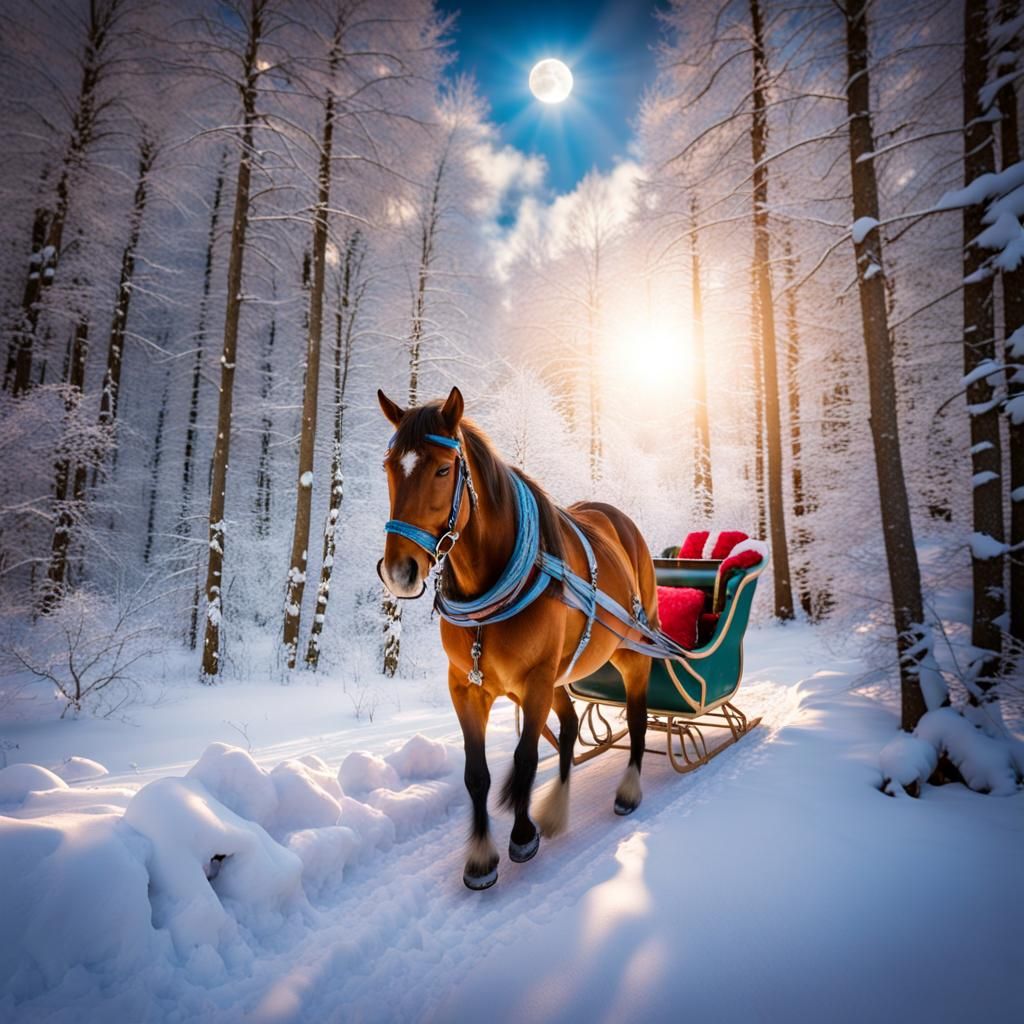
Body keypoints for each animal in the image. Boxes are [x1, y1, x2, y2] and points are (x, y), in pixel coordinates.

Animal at [377, 386, 660, 890]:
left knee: (638, 719)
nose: (399, 571)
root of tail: (619, 518)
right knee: (569, 728)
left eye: (443, 469)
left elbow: (526, 757)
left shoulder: (535, 681)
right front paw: (480, 857)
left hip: (630, 653)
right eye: (389, 467)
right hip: (559, 678)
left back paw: (627, 791)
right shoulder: (467, 687)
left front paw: (523, 834)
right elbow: (477, 774)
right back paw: (558, 805)